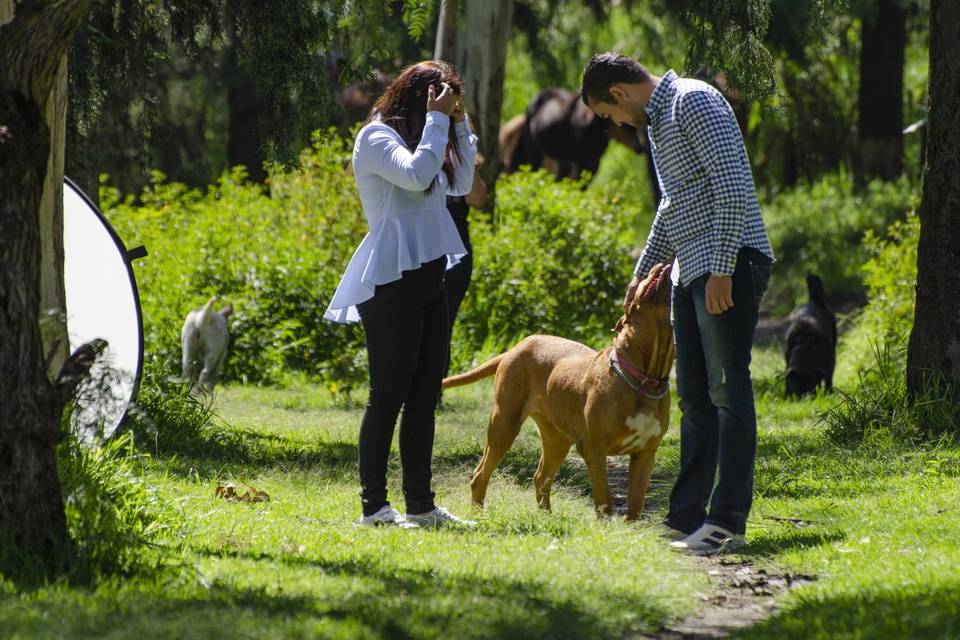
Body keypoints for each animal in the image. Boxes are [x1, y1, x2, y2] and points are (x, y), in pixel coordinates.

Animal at [444, 262, 676, 516]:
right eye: (643, 281)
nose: (659, 264)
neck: (643, 379)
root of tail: (516, 347)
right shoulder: (594, 449)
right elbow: (604, 501)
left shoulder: (645, 454)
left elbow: (635, 507)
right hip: (504, 423)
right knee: (480, 474)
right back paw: (478, 514)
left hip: (557, 439)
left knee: (540, 477)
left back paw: (546, 517)